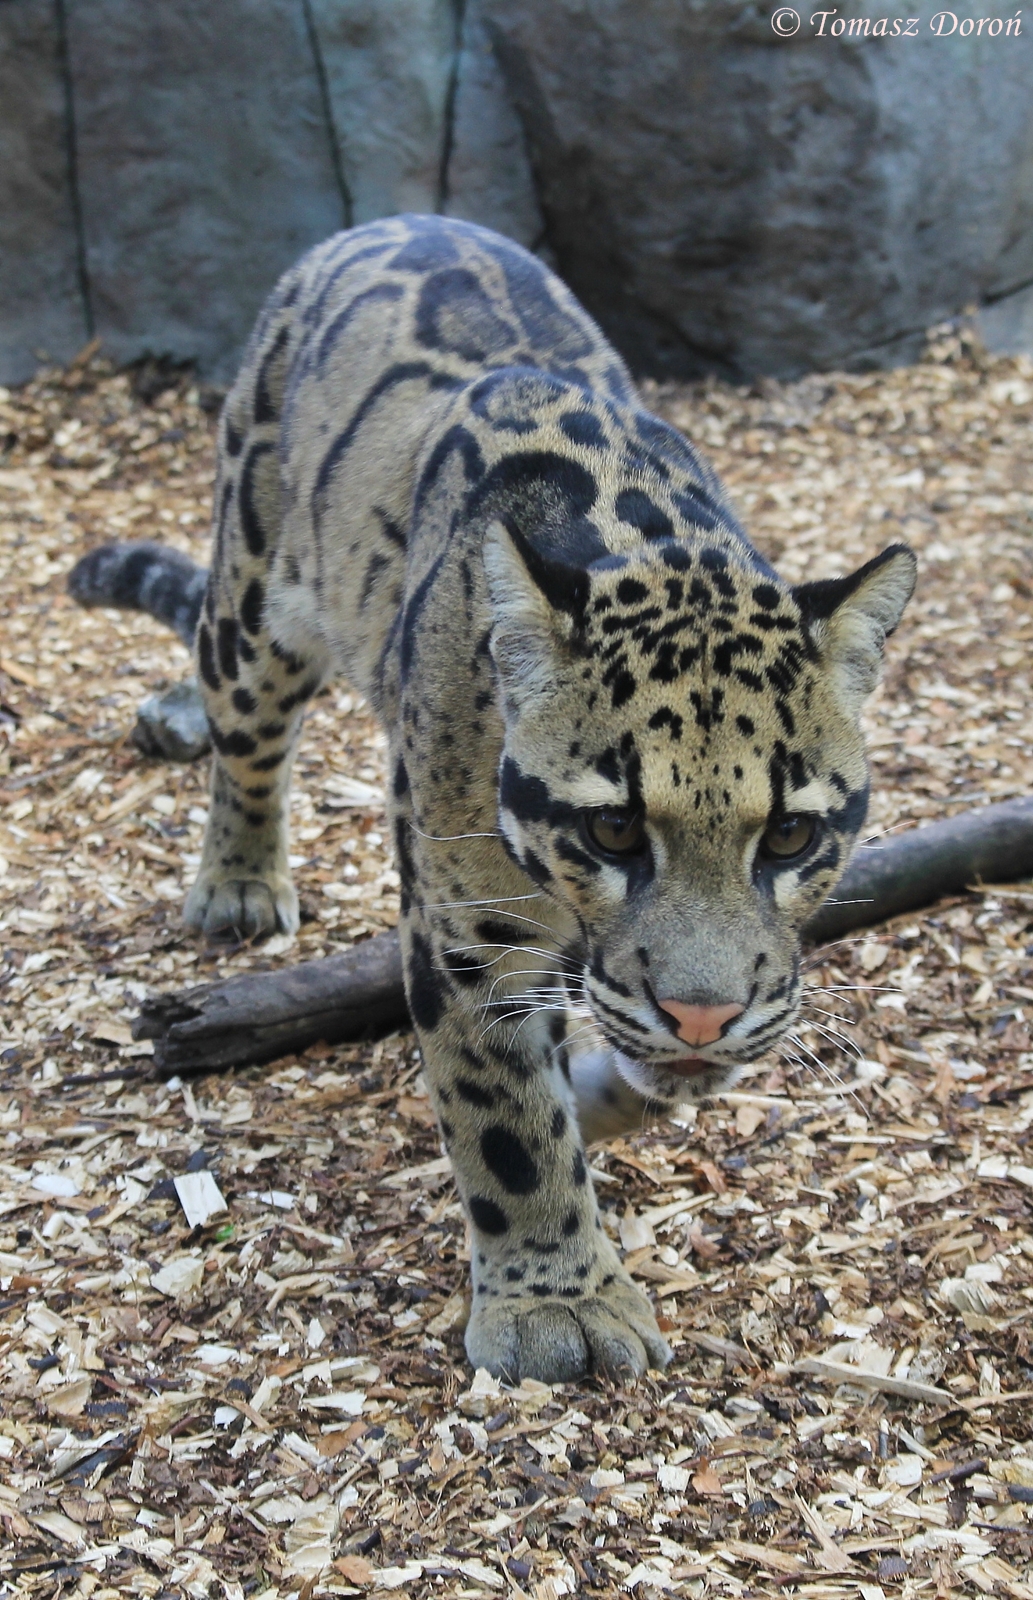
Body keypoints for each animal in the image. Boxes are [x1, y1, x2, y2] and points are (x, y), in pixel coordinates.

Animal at [69, 213, 916, 1385]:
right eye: (613, 828)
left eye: (789, 835)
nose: (702, 1012)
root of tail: (392, 218)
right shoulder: (473, 930)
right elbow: (505, 1118)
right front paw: (557, 1303)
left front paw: (626, 1091)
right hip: (253, 593)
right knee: (244, 730)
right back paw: (237, 878)